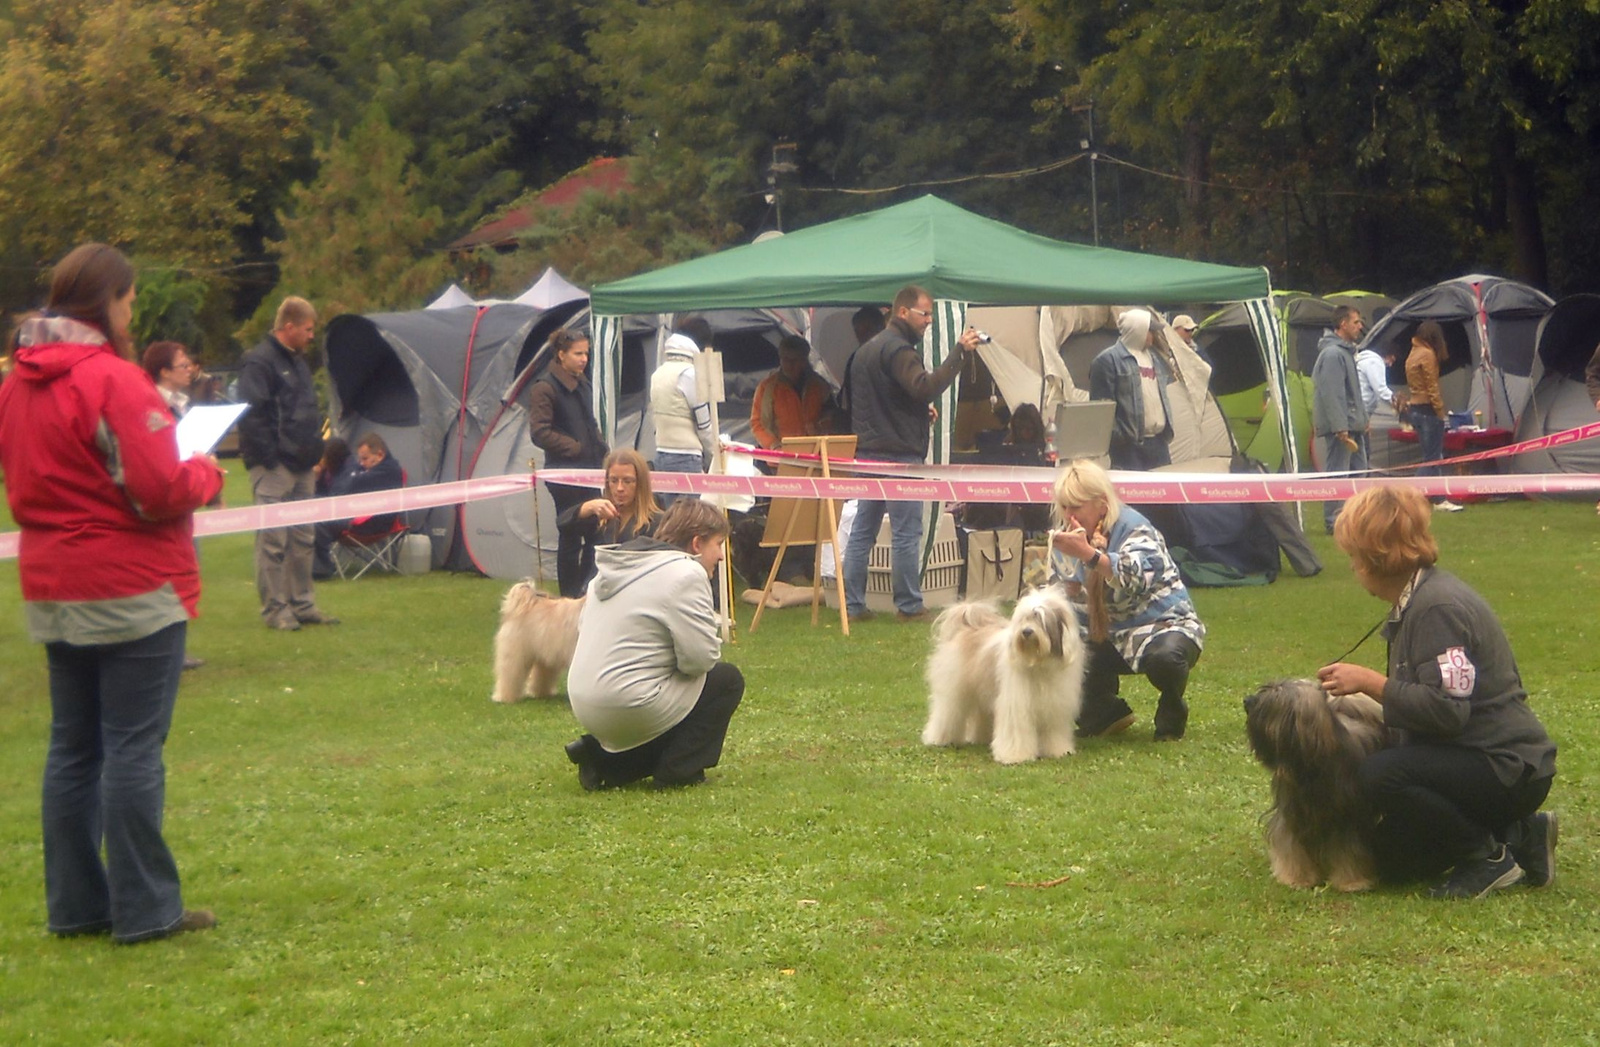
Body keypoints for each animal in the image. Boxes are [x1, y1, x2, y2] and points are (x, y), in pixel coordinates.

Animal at [921, 585, 1081, 768]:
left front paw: (1058, 751)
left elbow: (1054, 731)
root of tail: (967, 624)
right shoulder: (1016, 706)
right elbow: (1016, 731)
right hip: (953, 691)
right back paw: (939, 739)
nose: (1026, 632)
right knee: (946, 713)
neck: (1038, 663)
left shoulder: (1054, 707)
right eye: (1024, 619)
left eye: (1041, 618)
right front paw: (1015, 756)